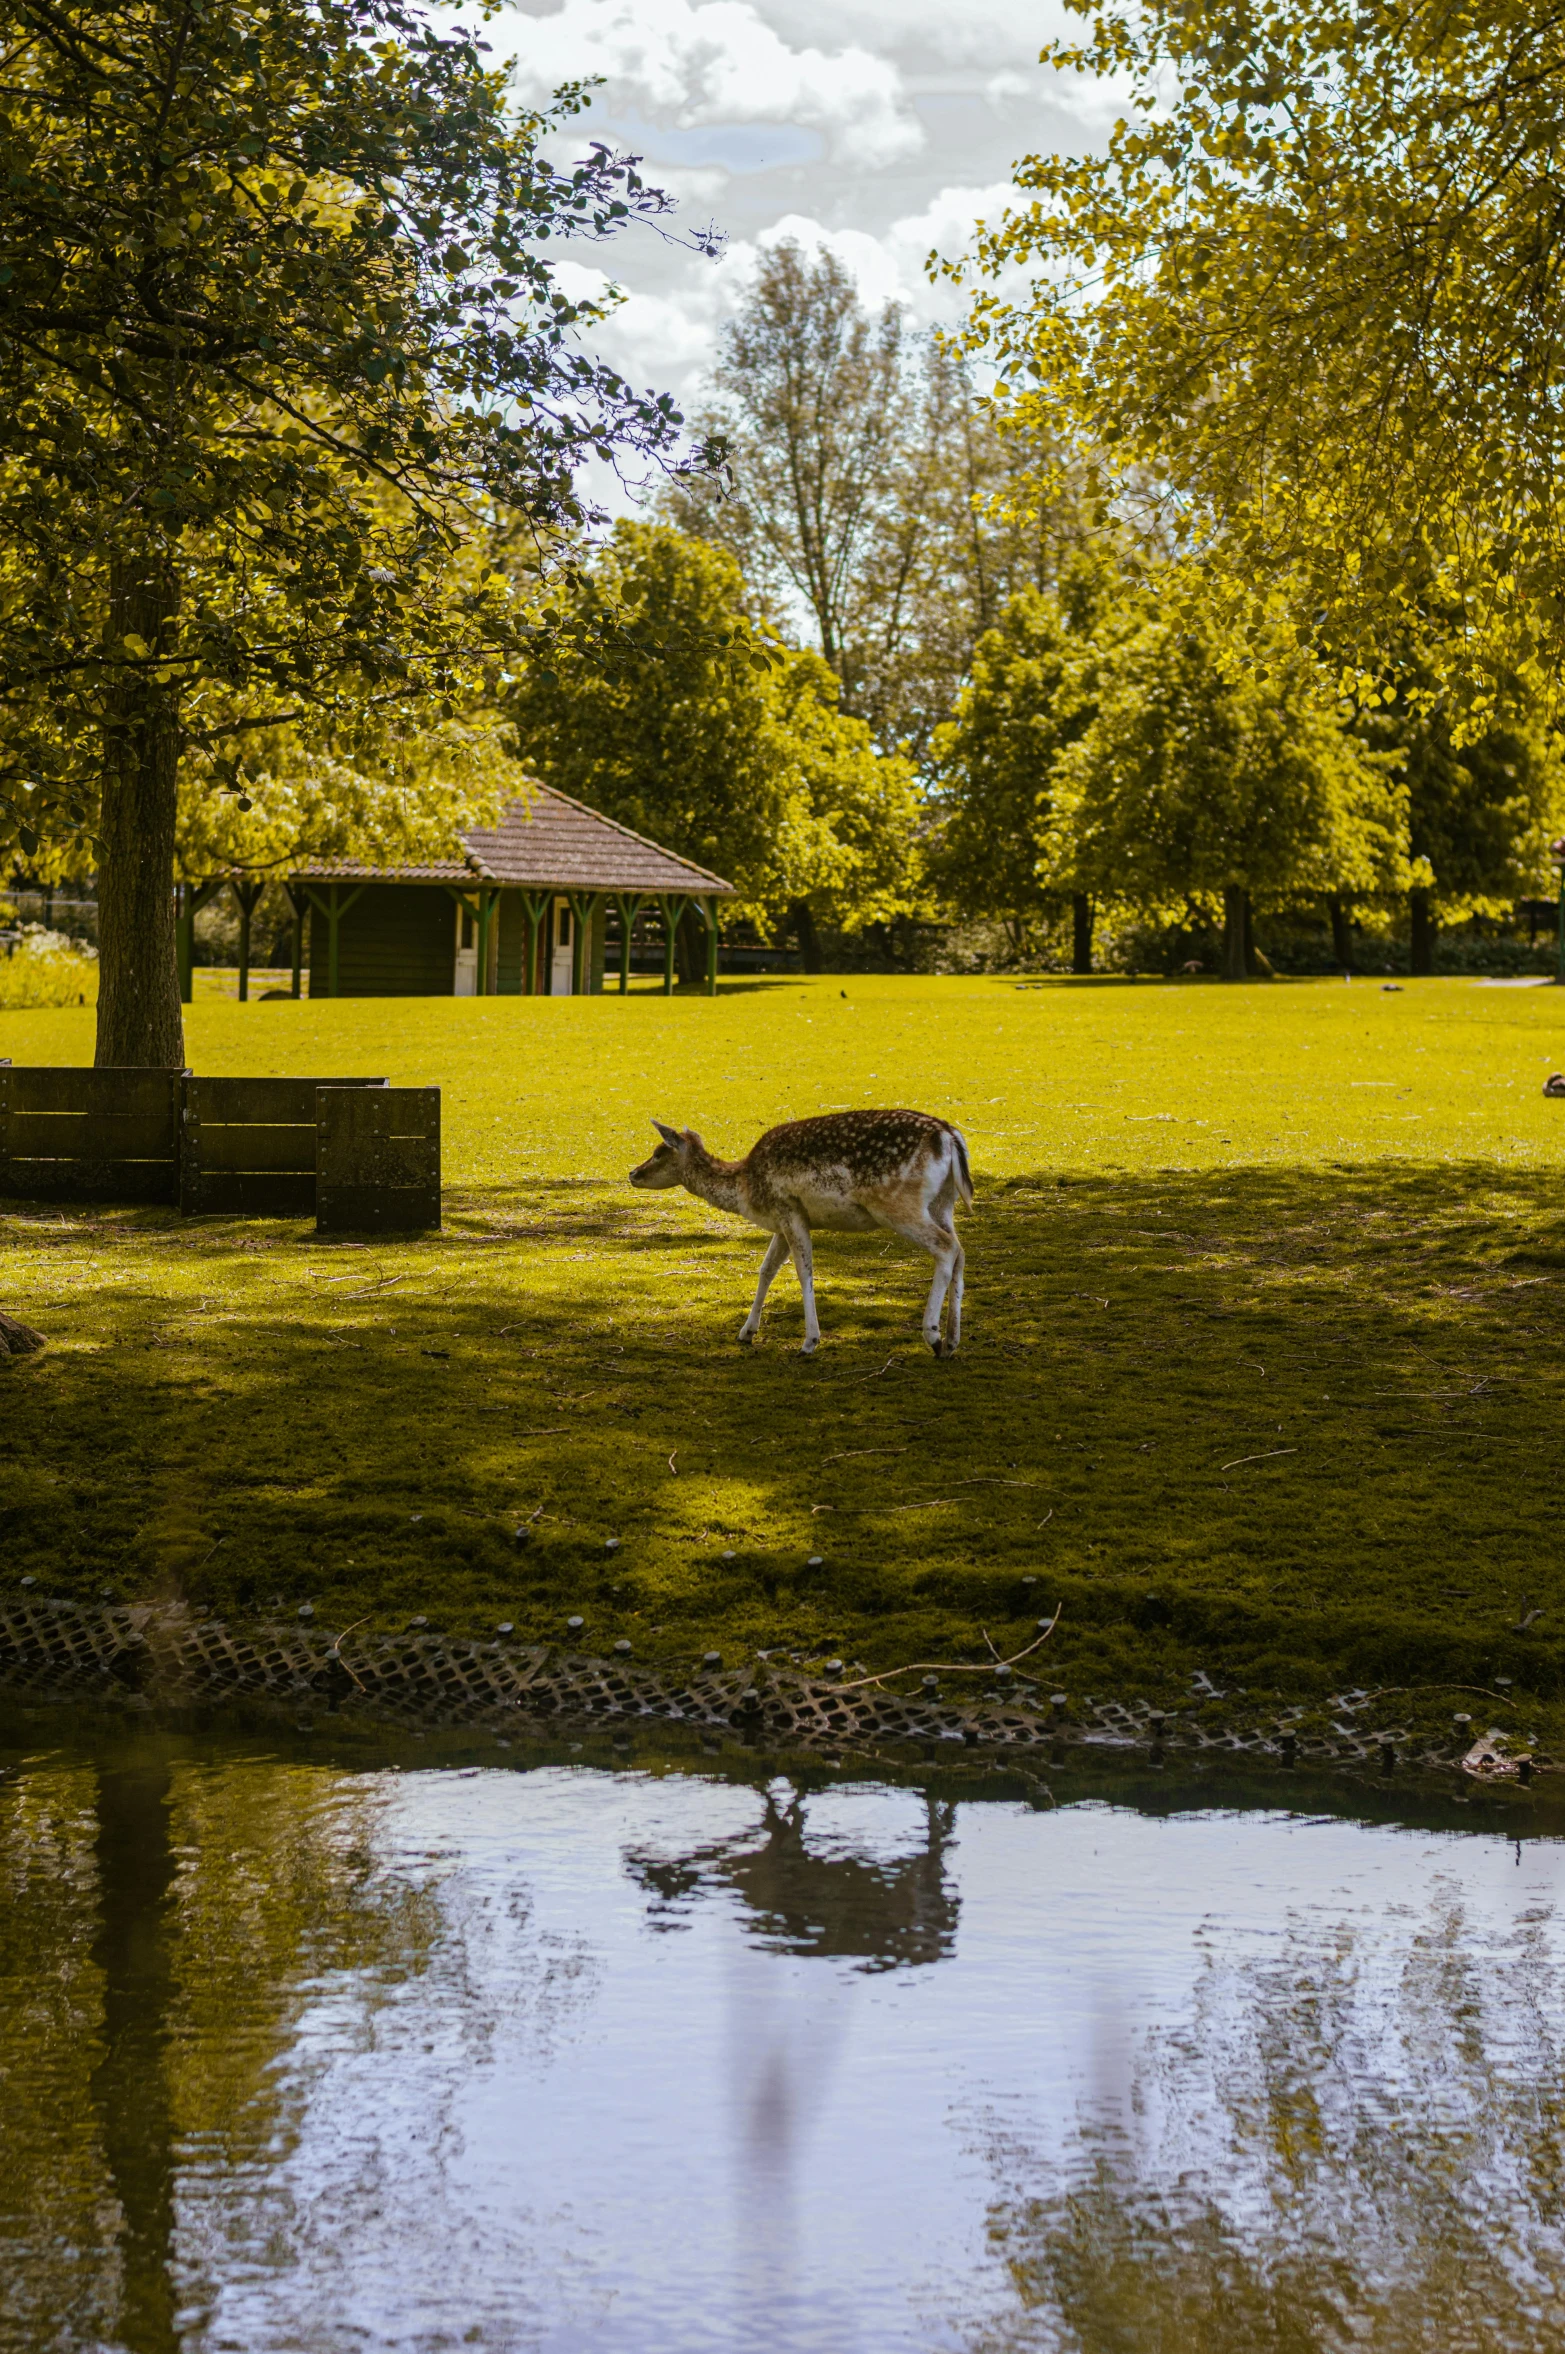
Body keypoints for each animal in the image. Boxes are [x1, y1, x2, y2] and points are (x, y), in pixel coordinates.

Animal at [630, 1106, 969, 1355]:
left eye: (659, 1152)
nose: (633, 1173)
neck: (745, 1189)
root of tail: (949, 1138)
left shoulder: (789, 1210)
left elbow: (803, 1271)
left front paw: (809, 1342)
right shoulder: (782, 1221)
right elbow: (766, 1270)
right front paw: (746, 1332)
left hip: (898, 1204)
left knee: (945, 1247)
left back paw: (933, 1336)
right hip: (943, 1202)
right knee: (961, 1251)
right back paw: (952, 1340)